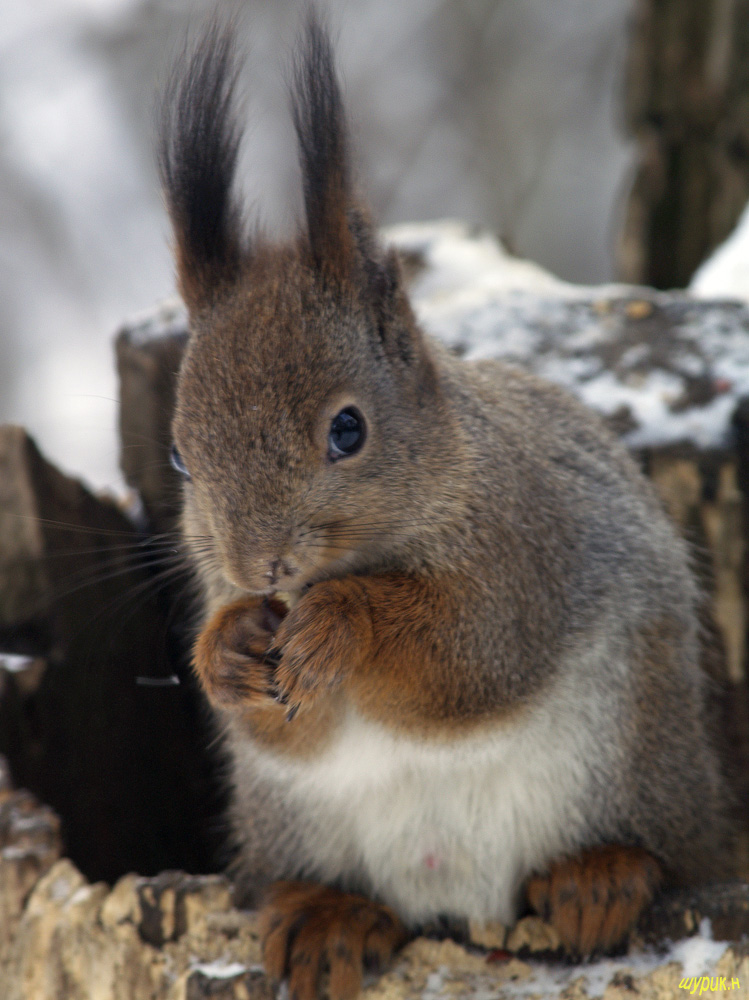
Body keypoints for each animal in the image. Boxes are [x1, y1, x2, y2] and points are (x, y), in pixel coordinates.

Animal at [159, 13, 732, 1000]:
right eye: (179, 457)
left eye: (348, 430)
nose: (258, 566)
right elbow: (284, 727)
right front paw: (226, 649)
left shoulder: (521, 552)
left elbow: (463, 659)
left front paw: (341, 623)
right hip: (293, 822)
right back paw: (327, 917)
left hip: (639, 759)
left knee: (659, 850)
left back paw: (598, 876)